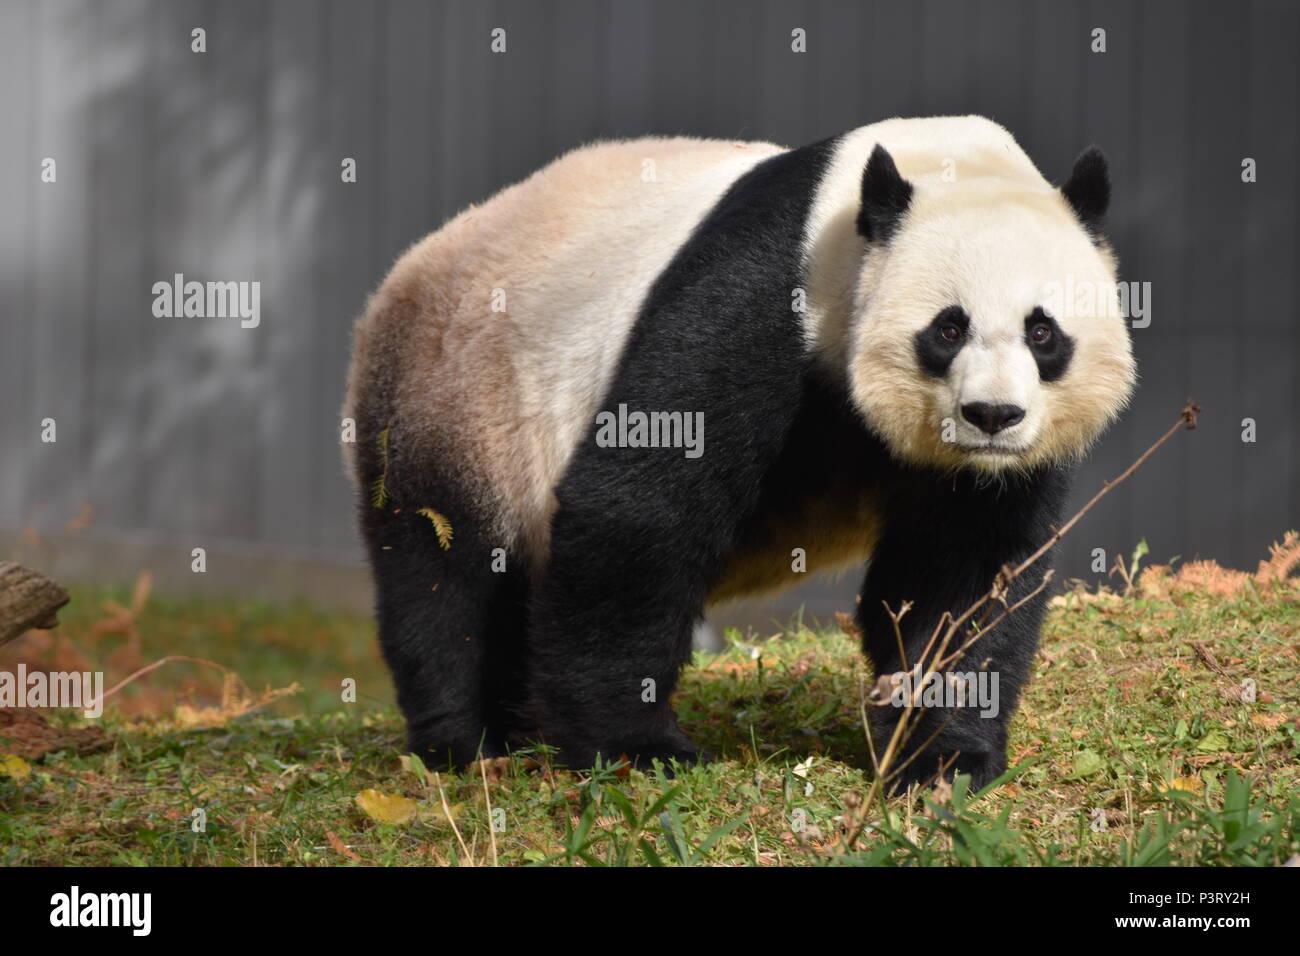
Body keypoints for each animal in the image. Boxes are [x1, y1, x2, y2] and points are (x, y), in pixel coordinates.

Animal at [340, 115, 1133, 790]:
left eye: (1042, 332)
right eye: (948, 328)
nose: (991, 416)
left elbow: (966, 569)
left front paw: (943, 756)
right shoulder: (767, 287)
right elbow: (644, 504)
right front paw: (636, 748)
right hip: (456, 400)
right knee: (446, 572)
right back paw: (468, 740)